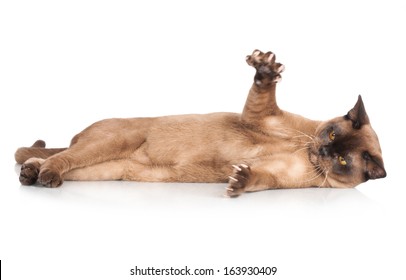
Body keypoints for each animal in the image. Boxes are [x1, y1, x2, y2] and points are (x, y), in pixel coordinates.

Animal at [14, 49, 386, 197]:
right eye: (331, 134)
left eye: (342, 161)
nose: (323, 150)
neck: (303, 150)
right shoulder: (261, 115)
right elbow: (265, 86)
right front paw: (265, 67)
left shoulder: (273, 176)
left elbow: (254, 179)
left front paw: (239, 181)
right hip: (106, 147)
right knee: (59, 157)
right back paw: (39, 176)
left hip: (103, 169)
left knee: (51, 159)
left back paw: (32, 175)